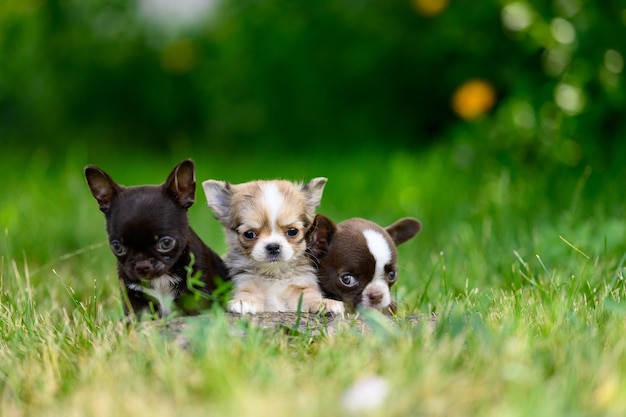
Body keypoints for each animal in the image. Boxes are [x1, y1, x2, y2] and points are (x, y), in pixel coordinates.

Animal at [84, 158, 228, 316]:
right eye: (117, 247)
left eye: (166, 243)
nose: (142, 265)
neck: (161, 280)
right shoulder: (134, 299)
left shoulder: (197, 295)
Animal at [202, 177, 344, 314]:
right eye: (249, 234)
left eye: (293, 231)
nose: (273, 246)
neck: (274, 275)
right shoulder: (244, 280)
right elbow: (247, 292)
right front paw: (244, 301)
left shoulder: (301, 285)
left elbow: (309, 296)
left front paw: (323, 303)